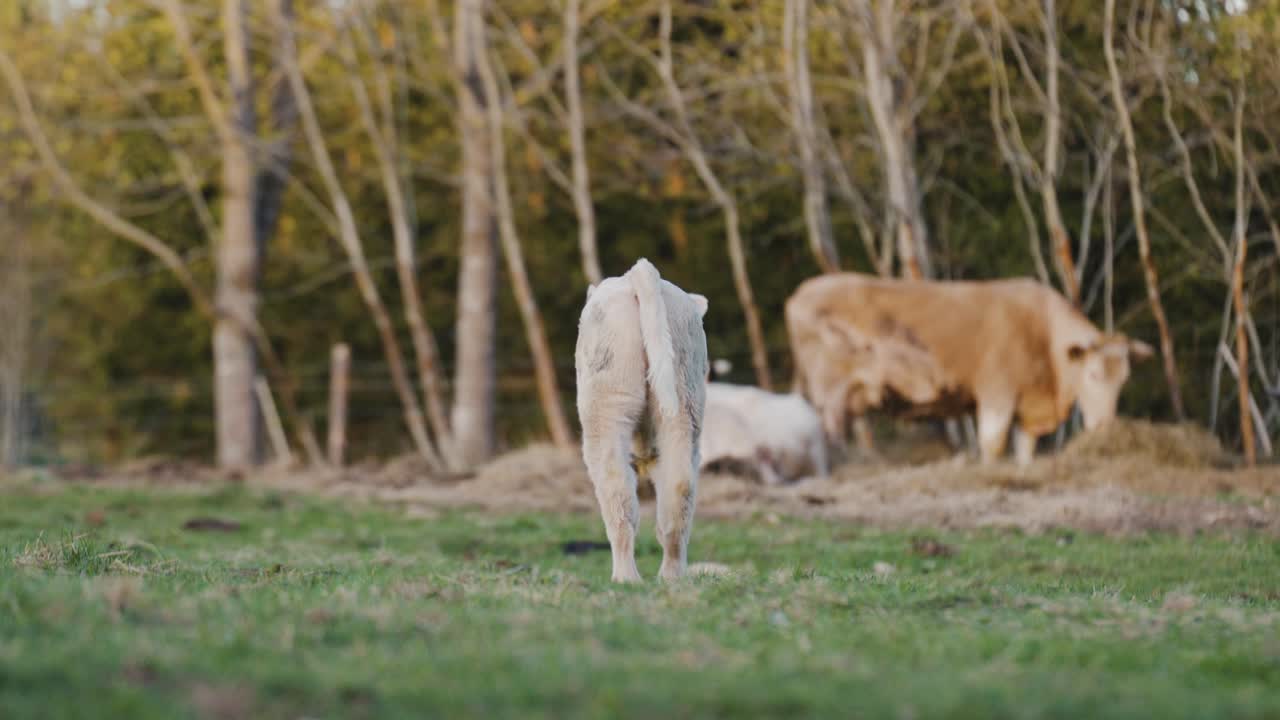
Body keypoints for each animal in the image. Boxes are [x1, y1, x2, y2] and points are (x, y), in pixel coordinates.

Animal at [575, 259, 709, 583]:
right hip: (684, 397)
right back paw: (671, 577)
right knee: (678, 493)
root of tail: (637, 274)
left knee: (618, 493)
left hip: (607, 396)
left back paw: (625, 578)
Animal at [785, 273, 1153, 465]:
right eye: (1092, 375)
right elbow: (993, 445)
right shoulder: (997, 394)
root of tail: (801, 293)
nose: (1106, 427)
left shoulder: (1027, 410)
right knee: (829, 426)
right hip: (831, 387)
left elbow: (1025, 452)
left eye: (1124, 380)